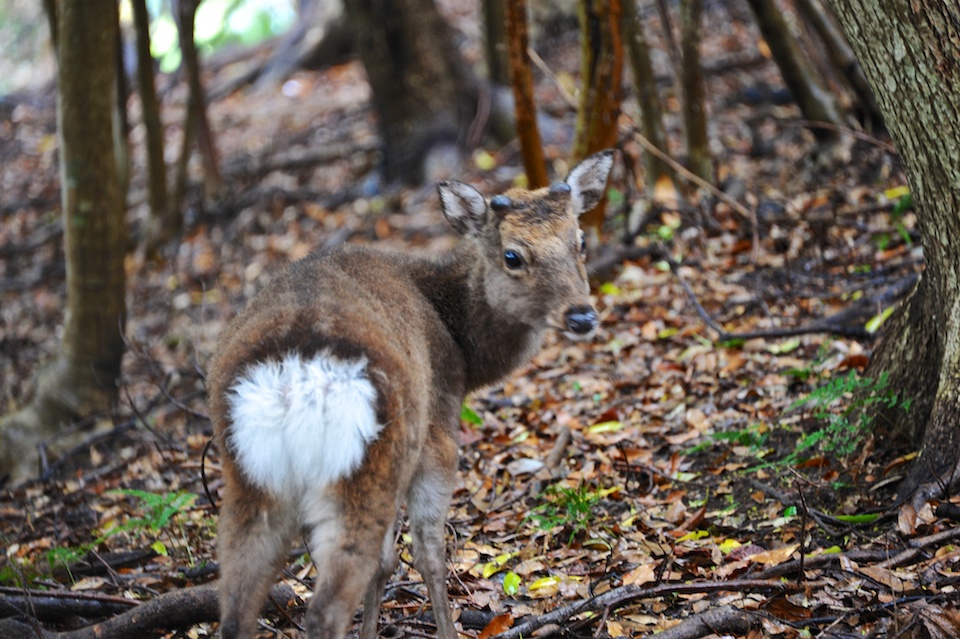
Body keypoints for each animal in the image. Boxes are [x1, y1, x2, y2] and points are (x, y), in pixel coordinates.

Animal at [206, 150, 614, 639]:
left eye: (581, 240)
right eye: (512, 255)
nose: (581, 316)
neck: (463, 354)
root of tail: (293, 379)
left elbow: (388, 562)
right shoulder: (437, 434)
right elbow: (426, 554)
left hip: (251, 477)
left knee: (235, 608)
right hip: (367, 463)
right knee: (326, 605)